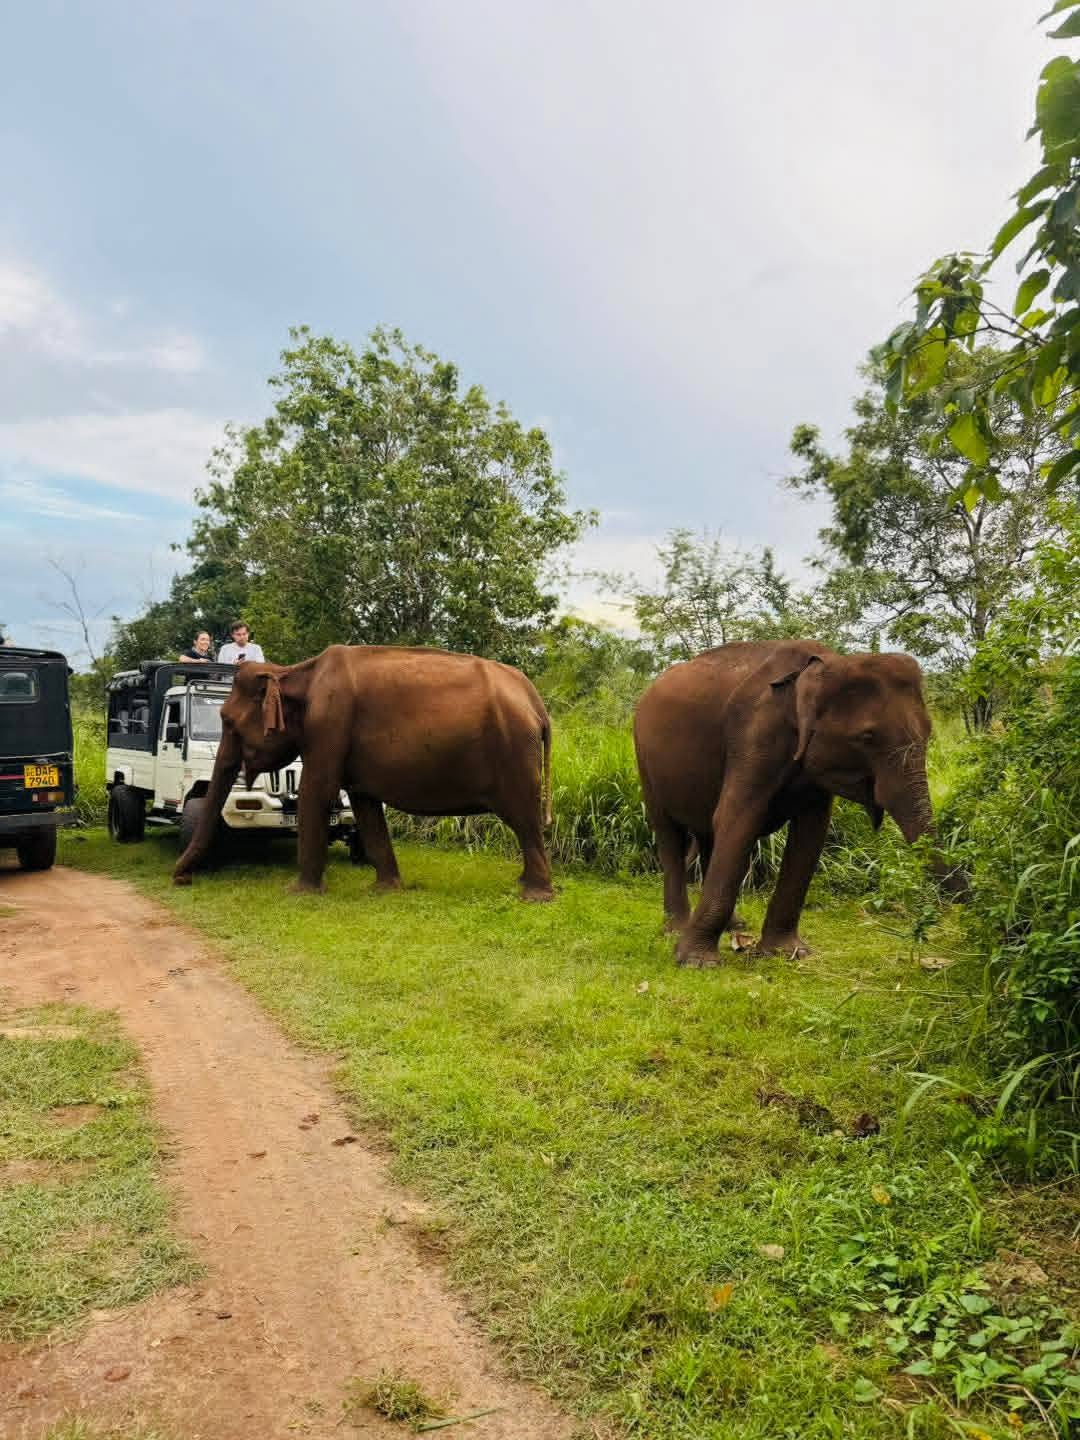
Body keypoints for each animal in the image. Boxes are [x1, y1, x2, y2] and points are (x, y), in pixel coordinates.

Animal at [174, 645, 554, 900]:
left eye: (227, 722)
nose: (182, 880)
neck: (294, 671)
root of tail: (536, 701)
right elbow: (363, 803)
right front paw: (386, 889)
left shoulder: (329, 722)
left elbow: (317, 790)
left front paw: (298, 893)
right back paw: (524, 884)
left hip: (514, 750)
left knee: (524, 818)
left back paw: (535, 896)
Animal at [633, 640, 960, 967]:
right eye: (867, 736)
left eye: (929, 732)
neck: (827, 662)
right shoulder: (754, 734)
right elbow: (737, 819)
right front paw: (697, 962)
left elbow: (810, 834)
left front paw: (788, 952)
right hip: (644, 761)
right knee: (669, 833)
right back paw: (676, 929)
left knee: (706, 834)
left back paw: (734, 926)